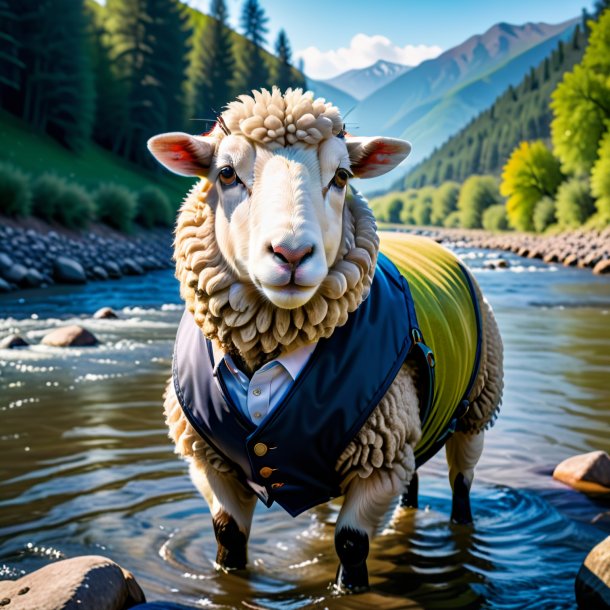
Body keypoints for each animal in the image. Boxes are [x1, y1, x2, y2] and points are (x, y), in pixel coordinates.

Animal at [147, 88, 498, 592]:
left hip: (473, 411)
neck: (268, 351)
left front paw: (348, 587)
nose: (291, 254)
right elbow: (228, 537)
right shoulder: (210, 461)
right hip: (412, 422)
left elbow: (351, 545)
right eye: (226, 173)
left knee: (461, 482)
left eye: (342, 176)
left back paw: (462, 522)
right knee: (413, 478)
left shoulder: (378, 462)